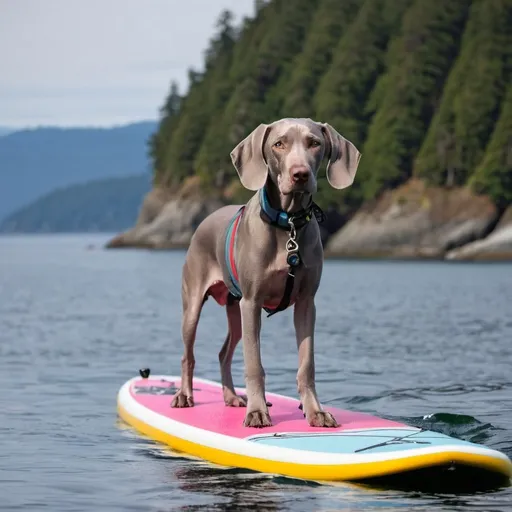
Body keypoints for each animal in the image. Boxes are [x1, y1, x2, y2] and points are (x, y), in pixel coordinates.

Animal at [171, 118, 360, 426]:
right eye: (278, 144)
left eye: (315, 143)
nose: (300, 174)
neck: (288, 224)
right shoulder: (252, 302)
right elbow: (254, 363)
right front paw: (258, 411)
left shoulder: (306, 304)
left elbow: (307, 364)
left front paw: (315, 411)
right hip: (195, 306)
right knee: (188, 354)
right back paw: (185, 396)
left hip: (235, 311)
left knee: (224, 353)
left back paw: (232, 397)